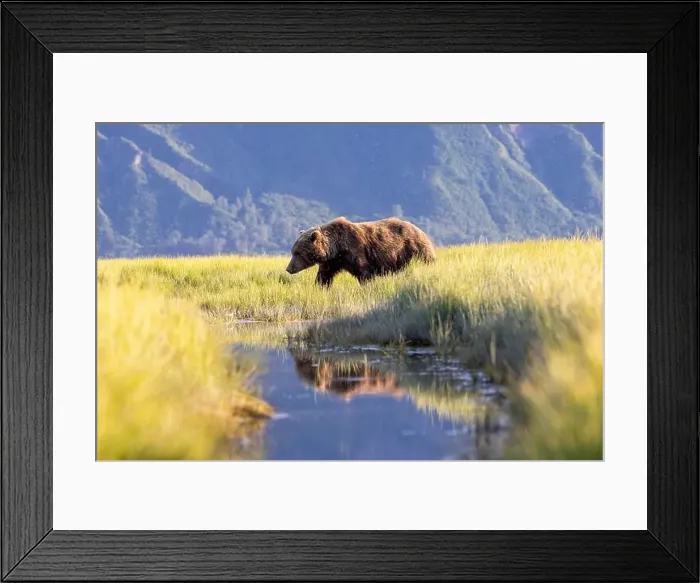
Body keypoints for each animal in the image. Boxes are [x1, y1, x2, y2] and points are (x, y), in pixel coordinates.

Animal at [285, 216, 436, 287]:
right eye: (293, 251)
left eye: (298, 253)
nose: (288, 268)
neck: (337, 247)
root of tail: (423, 232)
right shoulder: (332, 261)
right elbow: (324, 275)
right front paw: (320, 287)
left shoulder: (356, 250)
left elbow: (364, 272)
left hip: (414, 249)